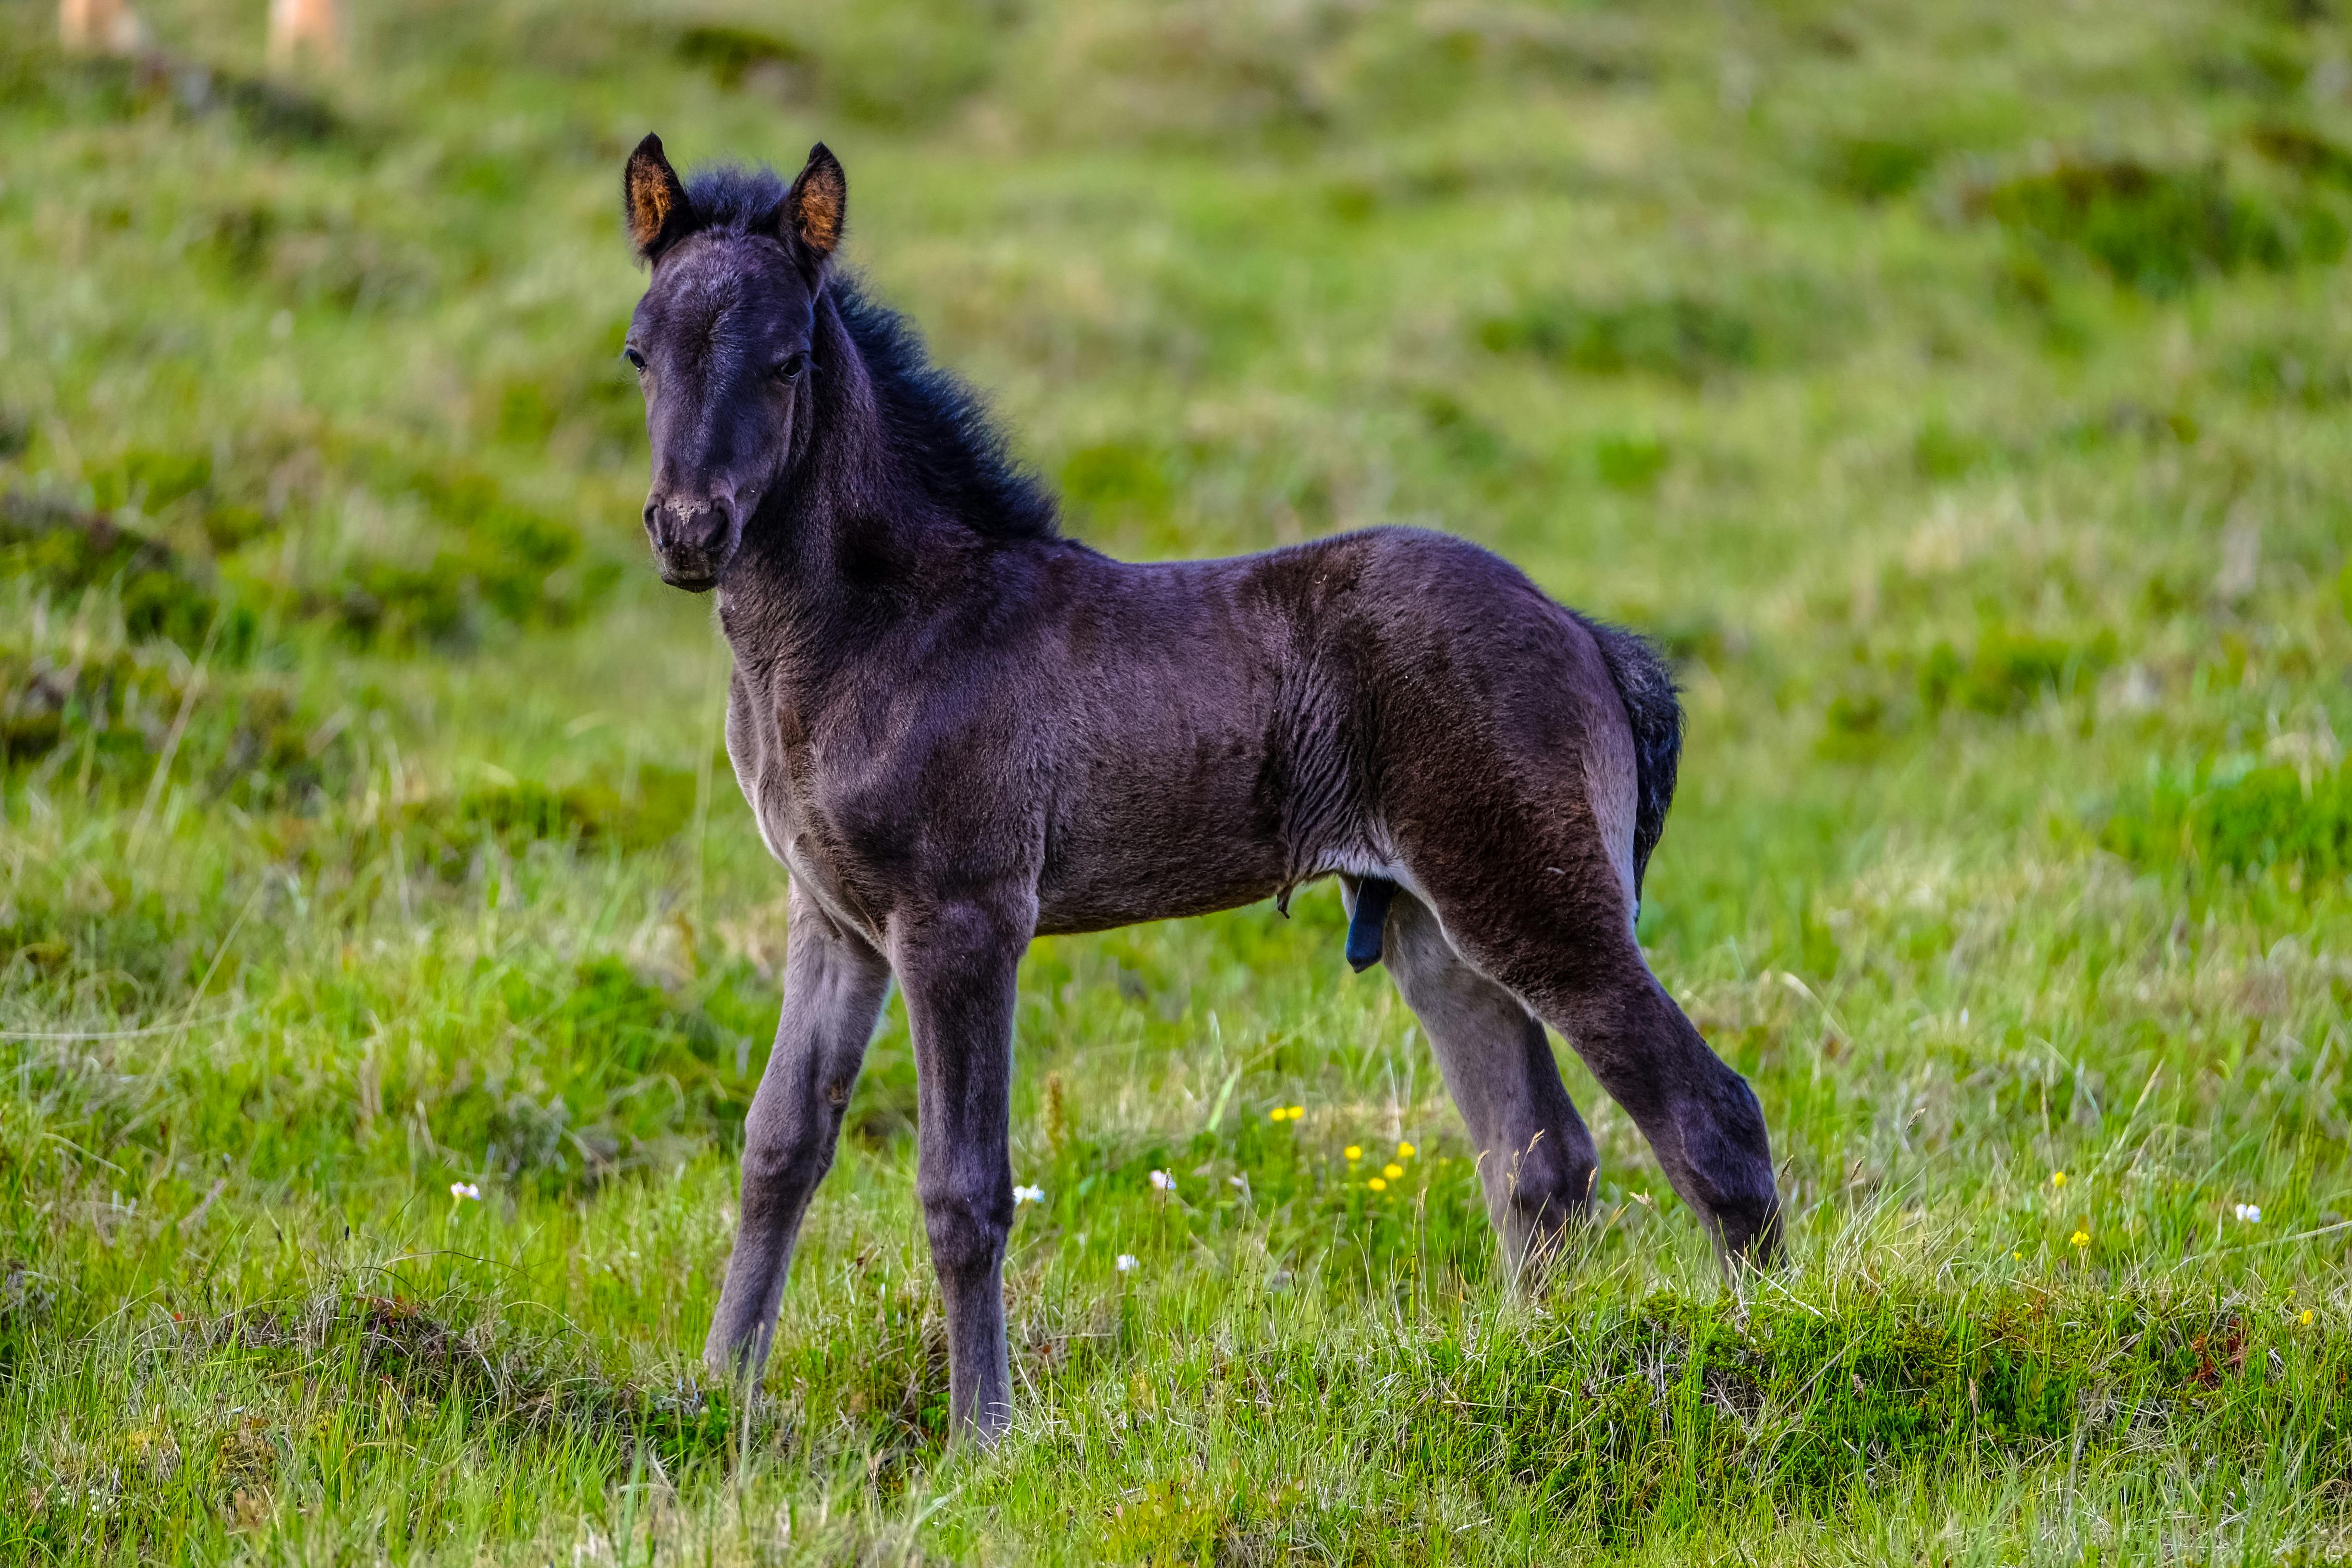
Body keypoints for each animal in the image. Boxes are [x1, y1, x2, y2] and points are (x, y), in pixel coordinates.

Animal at [616, 135, 1781, 1443]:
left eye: (787, 360)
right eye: (641, 351)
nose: (688, 530)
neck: (881, 625)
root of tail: (1584, 632)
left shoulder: (963, 919)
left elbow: (963, 1189)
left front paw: (983, 1439)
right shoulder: (833, 918)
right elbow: (776, 1149)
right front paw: (717, 1397)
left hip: (1534, 901)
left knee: (1709, 1117)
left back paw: (1771, 1342)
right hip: (1435, 932)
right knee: (1539, 1165)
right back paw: (1534, 1363)